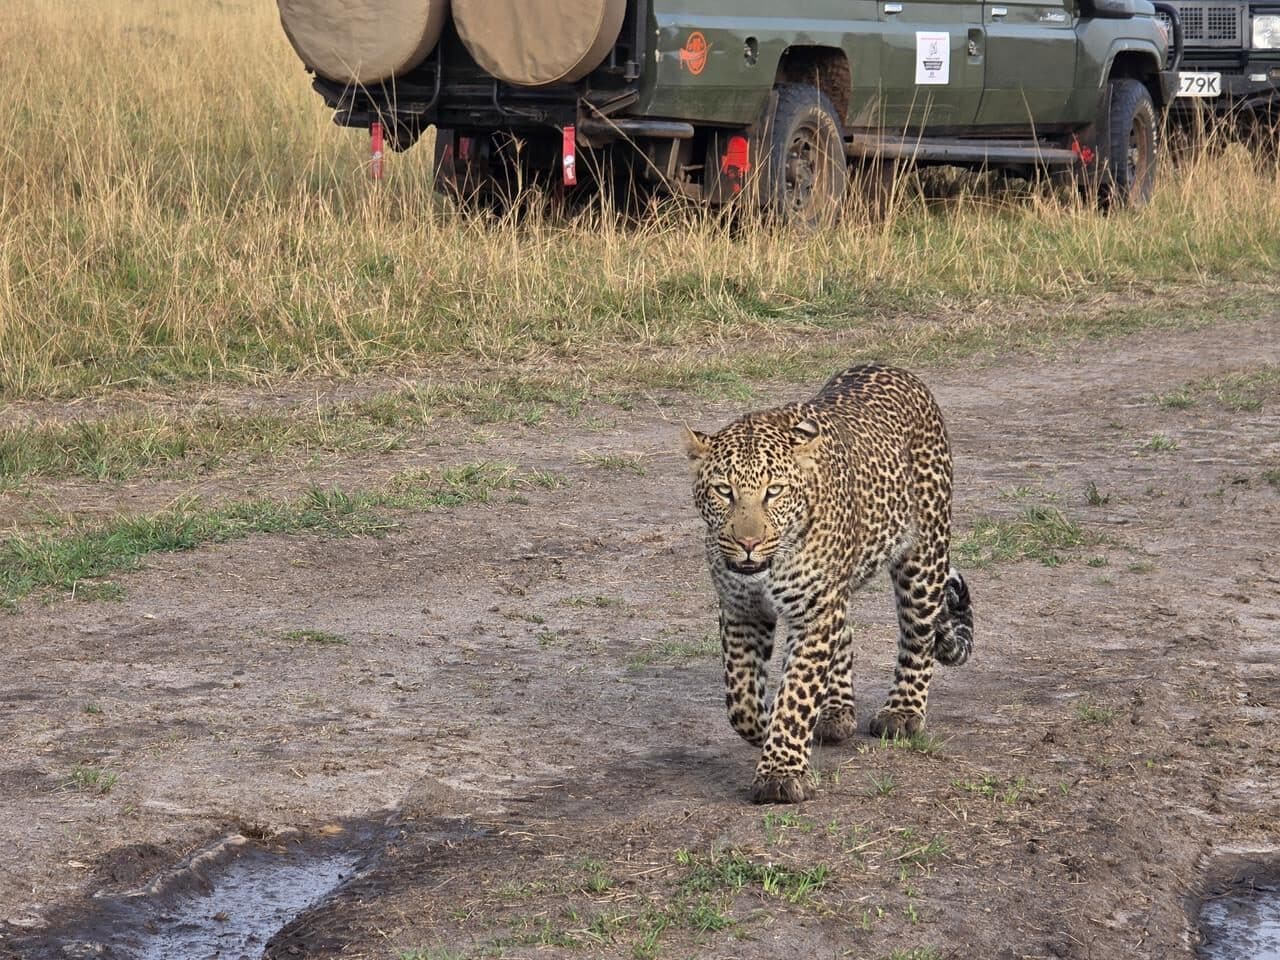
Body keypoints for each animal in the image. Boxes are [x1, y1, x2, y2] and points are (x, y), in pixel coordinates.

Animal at [683, 363, 974, 804]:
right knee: (846, 632)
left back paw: (902, 712)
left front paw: (780, 771)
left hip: (924, 557)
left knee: (918, 636)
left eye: (774, 492)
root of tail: (890, 366)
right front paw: (767, 731)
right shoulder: (740, 610)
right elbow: (741, 701)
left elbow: (797, 691)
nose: (748, 544)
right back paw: (836, 711)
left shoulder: (814, 610)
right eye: (723, 491)